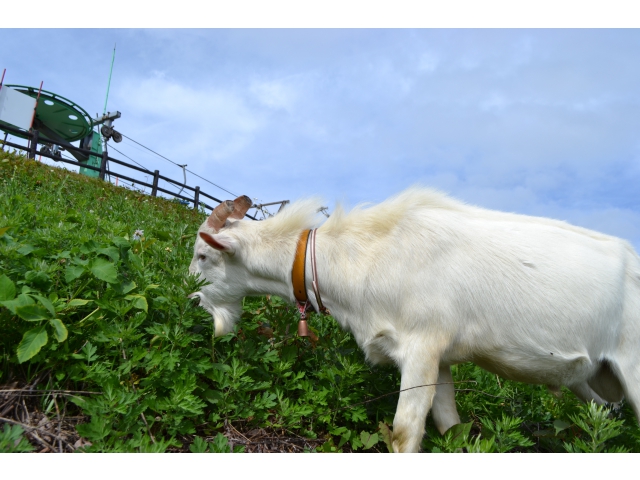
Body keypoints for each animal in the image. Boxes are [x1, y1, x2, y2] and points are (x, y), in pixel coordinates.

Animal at [186, 189, 640, 452]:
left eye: (203, 255)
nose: (191, 300)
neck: (370, 253)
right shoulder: (440, 359)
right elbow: (449, 426)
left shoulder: (421, 346)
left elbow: (404, 432)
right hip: (594, 380)